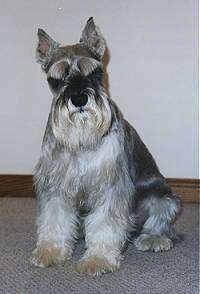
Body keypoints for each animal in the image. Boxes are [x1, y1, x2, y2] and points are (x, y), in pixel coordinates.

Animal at [30, 17, 181, 276]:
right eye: (56, 77)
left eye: (94, 72)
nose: (79, 98)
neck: (82, 139)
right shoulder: (55, 183)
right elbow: (54, 218)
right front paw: (50, 251)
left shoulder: (111, 184)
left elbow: (105, 223)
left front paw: (97, 260)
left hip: (162, 198)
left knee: (160, 225)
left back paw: (153, 239)